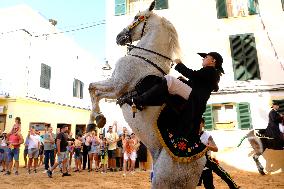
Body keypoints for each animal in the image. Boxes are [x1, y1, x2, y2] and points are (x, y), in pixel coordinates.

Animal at [87, 1, 205, 189]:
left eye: (137, 17)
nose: (119, 37)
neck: (144, 58)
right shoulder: (115, 88)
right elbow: (94, 90)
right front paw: (96, 120)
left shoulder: (117, 86)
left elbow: (93, 89)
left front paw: (96, 120)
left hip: (163, 180)